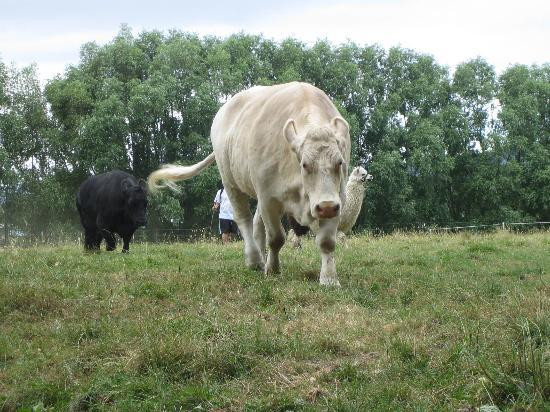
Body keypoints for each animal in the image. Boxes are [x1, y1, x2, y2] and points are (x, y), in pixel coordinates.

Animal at [149, 82, 352, 284]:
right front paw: (273, 269)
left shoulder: (337, 198)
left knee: (256, 225)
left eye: (339, 162)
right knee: (244, 219)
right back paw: (255, 260)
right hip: (230, 182)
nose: (326, 206)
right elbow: (276, 238)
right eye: (304, 164)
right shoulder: (268, 198)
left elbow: (326, 241)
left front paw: (329, 279)